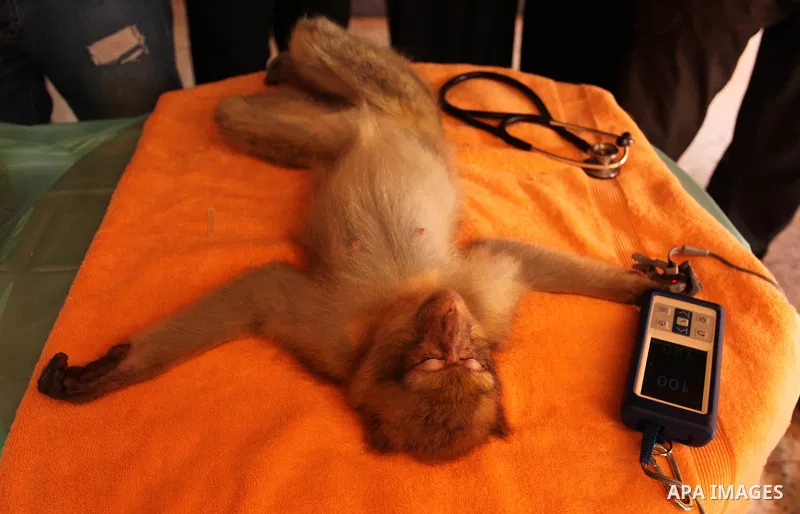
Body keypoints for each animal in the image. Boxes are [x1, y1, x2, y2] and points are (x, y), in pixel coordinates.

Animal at [37, 17, 665, 462]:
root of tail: (384, 120)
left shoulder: (468, 310)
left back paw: (283, 76)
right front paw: (642, 287)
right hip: (405, 107)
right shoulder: (337, 332)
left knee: (243, 111)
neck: (400, 308)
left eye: (465, 361)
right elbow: (261, 292)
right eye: (436, 360)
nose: (448, 315)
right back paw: (288, 64)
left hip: (363, 118)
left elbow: (260, 291)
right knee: (309, 49)